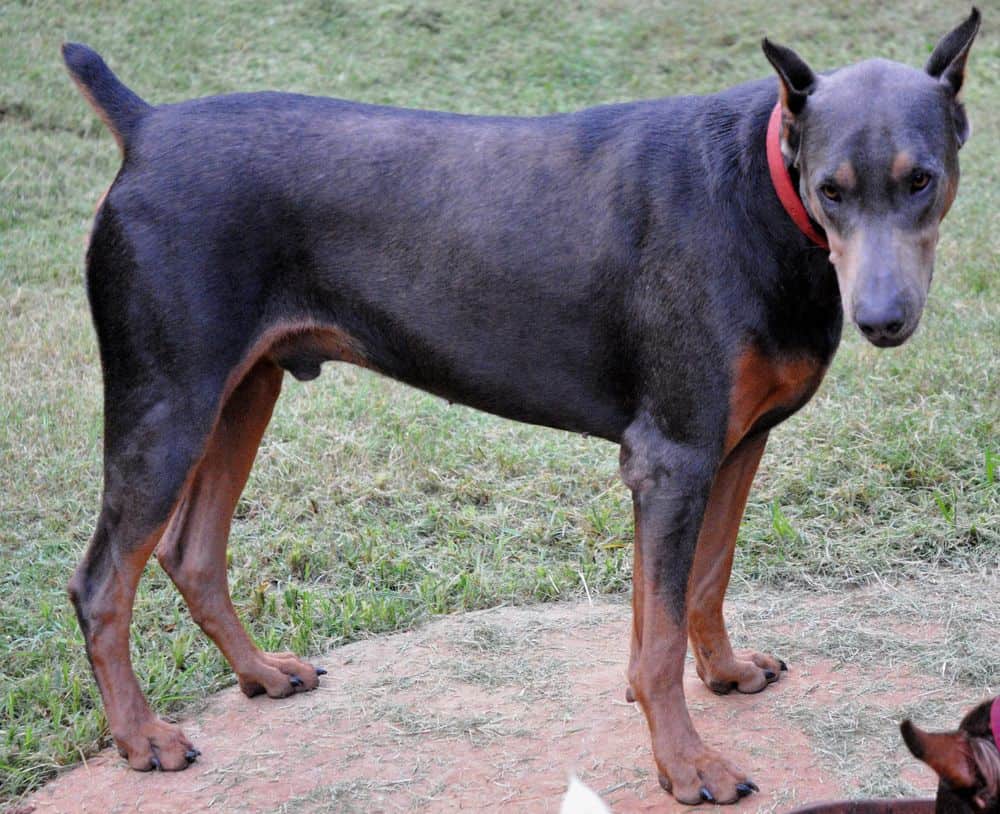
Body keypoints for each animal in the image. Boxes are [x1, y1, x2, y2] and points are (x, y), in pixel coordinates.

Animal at [64, 9, 984, 808]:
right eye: (831, 189)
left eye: (921, 180)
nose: (882, 318)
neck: (761, 191)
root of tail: (147, 128)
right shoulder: (671, 455)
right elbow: (656, 640)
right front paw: (688, 766)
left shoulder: (734, 444)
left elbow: (702, 582)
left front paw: (721, 674)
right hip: (168, 401)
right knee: (102, 581)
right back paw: (143, 739)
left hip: (241, 391)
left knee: (191, 553)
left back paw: (258, 673)